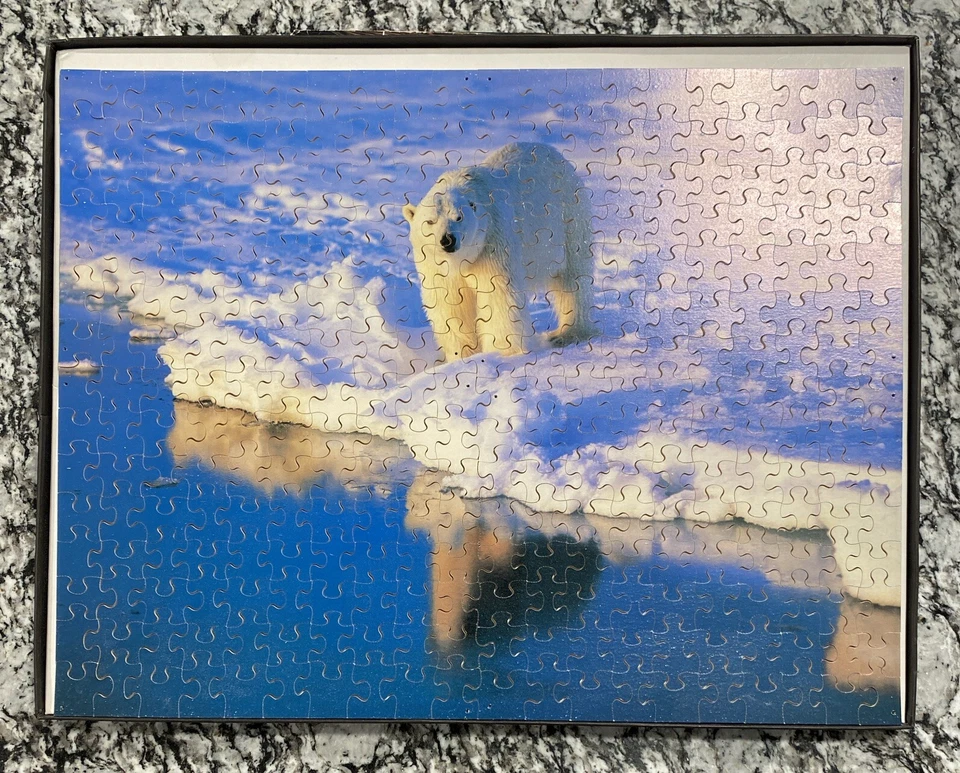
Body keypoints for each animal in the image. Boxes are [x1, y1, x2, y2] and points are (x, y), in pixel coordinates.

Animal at [402, 142, 596, 361]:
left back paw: (568, 333)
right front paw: (461, 355)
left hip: (569, 217)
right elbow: (451, 305)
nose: (447, 240)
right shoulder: (435, 265)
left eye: (458, 217)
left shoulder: (493, 241)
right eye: (430, 221)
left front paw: (503, 352)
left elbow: (498, 298)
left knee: (572, 279)